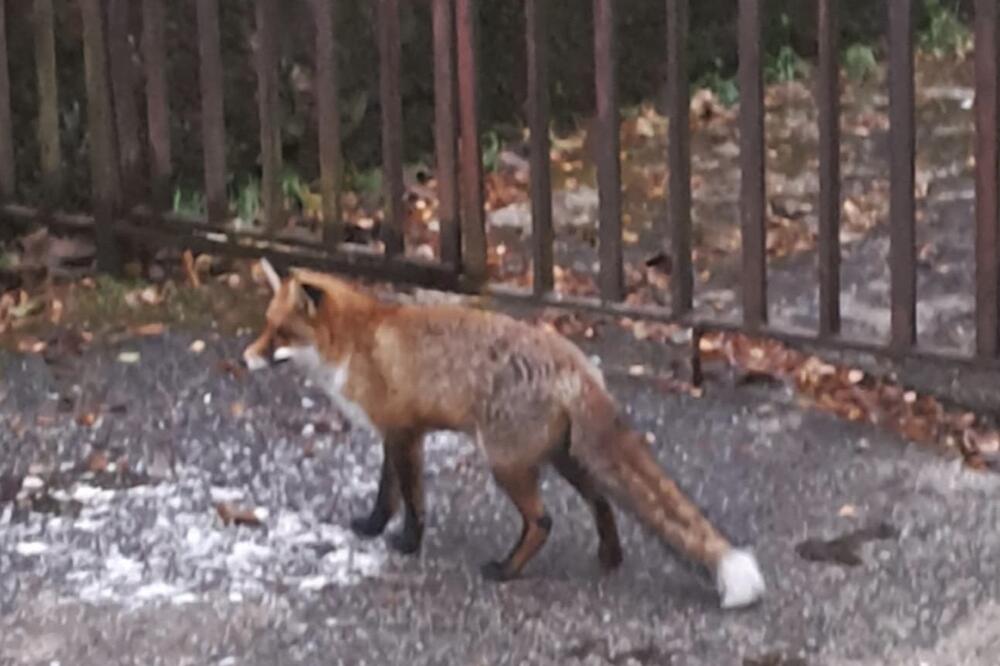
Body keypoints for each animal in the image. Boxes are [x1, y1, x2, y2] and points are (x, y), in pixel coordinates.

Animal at [244, 258, 764, 608]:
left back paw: (506, 570)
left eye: (281, 333)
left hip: (506, 463)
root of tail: (577, 366)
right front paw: (372, 528)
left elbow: (412, 502)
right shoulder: (392, 434)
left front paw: (408, 544)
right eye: (265, 327)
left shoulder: (405, 433)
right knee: (602, 500)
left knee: (543, 520)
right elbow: (385, 496)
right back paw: (609, 557)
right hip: (563, 457)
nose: (247, 357)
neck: (356, 343)